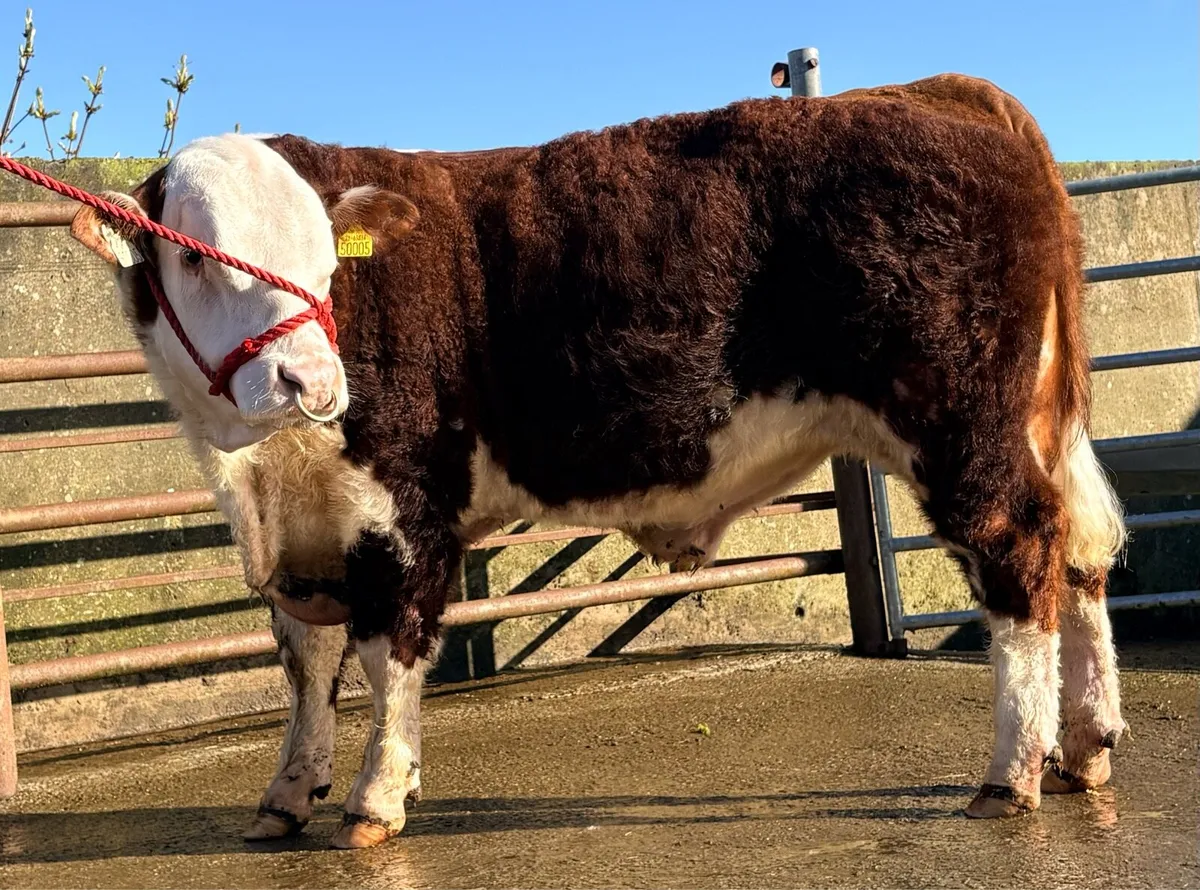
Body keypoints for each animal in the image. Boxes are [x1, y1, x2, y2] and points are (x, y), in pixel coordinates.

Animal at [68, 73, 1127, 848]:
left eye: (329, 253)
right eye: (193, 254)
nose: (311, 379)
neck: (259, 472)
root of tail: (938, 92)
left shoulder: (401, 512)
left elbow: (387, 652)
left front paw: (376, 796)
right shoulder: (301, 533)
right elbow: (305, 663)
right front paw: (288, 793)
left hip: (961, 426)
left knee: (1019, 556)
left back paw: (1011, 773)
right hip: (1030, 424)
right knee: (1079, 558)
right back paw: (1084, 747)